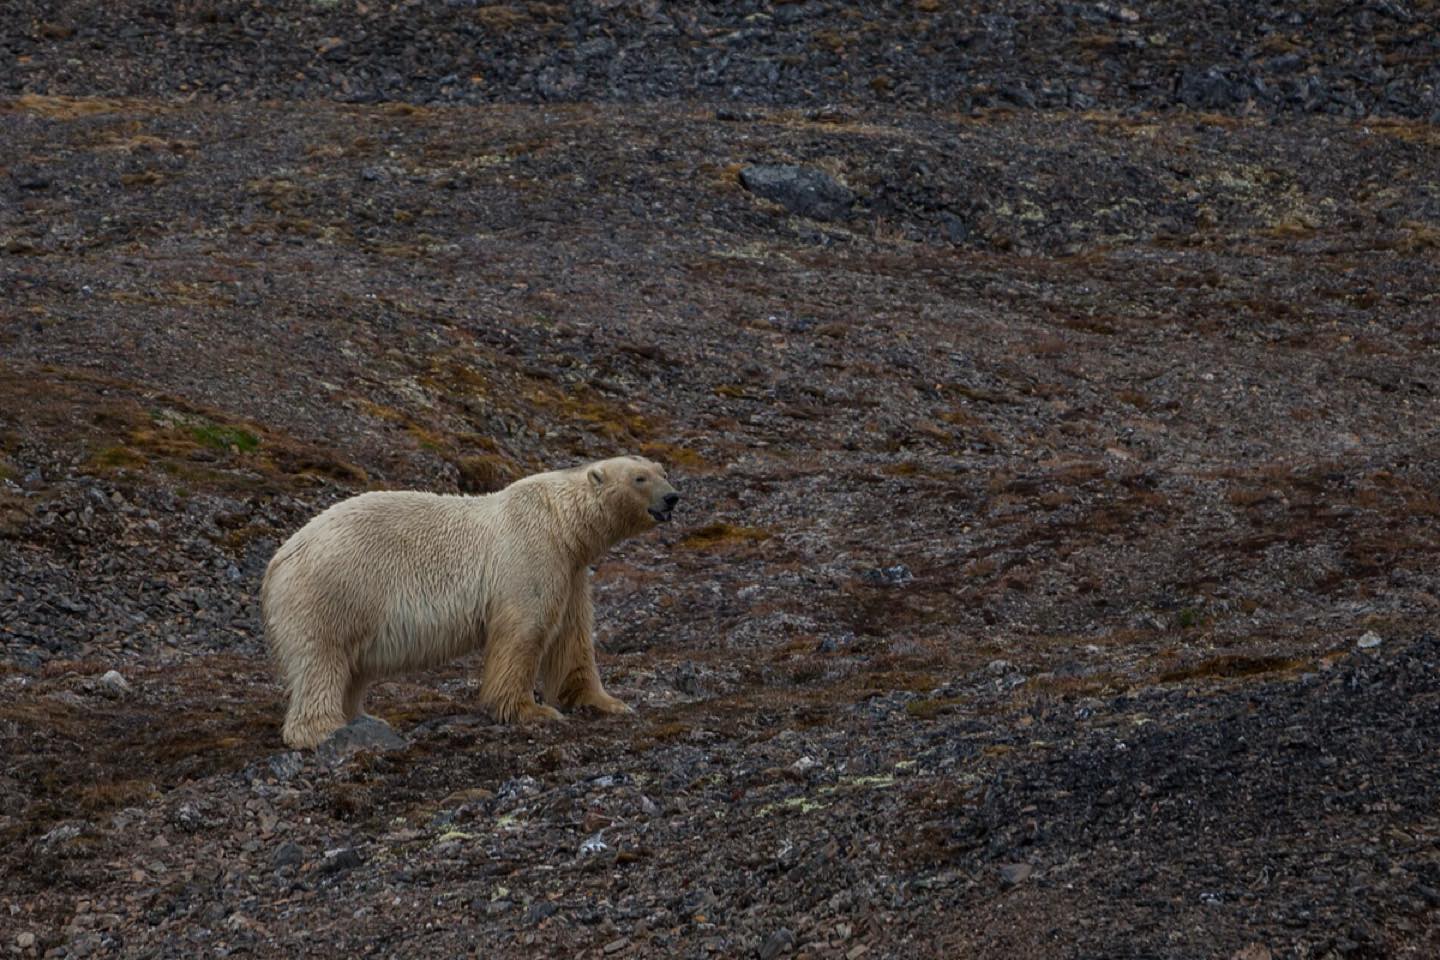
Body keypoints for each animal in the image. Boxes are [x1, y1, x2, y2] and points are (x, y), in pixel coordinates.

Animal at [260, 455, 679, 749]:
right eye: (639, 478)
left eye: (662, 470)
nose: (673, 497)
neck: (560, 522)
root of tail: (279, 559)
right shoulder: (530, 555)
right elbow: (524, 630)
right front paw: (531, 710)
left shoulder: (572, 571)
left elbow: (571, 638)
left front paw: (605, 702)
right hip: (334, 589)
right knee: (322, 659)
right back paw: (325, 730)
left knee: (350, 668)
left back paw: (364, 718)